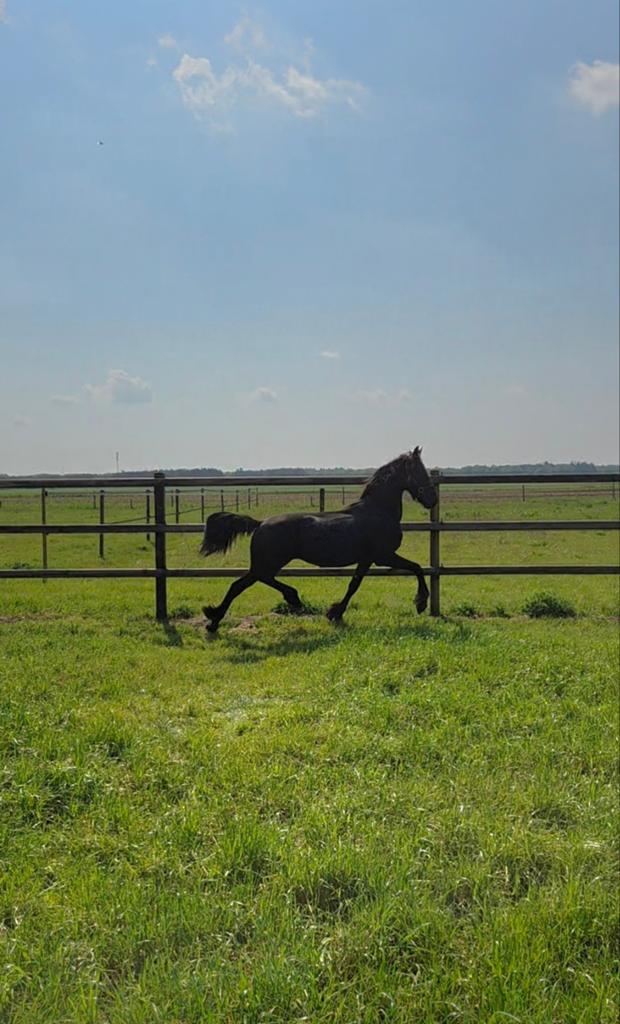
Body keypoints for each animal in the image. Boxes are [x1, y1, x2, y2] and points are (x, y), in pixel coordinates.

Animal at [199, 447, 438, 632]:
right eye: (419, 471)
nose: (432, 499)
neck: (378, 511)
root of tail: (260, 523)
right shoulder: (382, 556)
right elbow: (416, 567)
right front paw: (420, 603)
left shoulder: (367, 559)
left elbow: (354, 584)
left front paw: (335, 613)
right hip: (268, 562)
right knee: (243, 584)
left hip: (267, 563)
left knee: (249, 582)